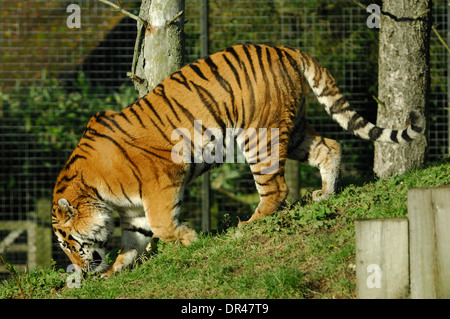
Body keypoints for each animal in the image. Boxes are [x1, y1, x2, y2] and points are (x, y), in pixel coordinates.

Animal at [51, 43, 424, 276]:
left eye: (69, 243)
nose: (81, 270)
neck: (99, 194)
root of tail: (286, 49)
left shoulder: (160, 186)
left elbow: (162, 226)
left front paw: (191, 239)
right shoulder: (133, 211)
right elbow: (133, 241)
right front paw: (113, 272)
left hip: (259, 138)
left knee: (276, 189)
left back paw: (247, 227)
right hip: (293, 128)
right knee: (329, 146)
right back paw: (325, 194)